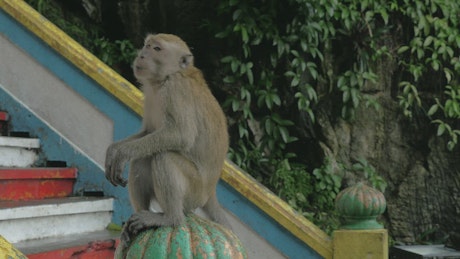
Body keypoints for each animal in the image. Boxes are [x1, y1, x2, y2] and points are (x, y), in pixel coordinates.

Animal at [106, 33, 232, 246]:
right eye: (147, 45)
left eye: (157, 49)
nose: (141, 55)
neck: (165, 79)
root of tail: (210, 192)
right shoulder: (150, 95)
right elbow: (149, 132)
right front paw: (114, 150)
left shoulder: (175, 91)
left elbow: (181, 135)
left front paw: (122, 153)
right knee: (143, 157)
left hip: (194, 192)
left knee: (163, 156)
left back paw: (171, 218)